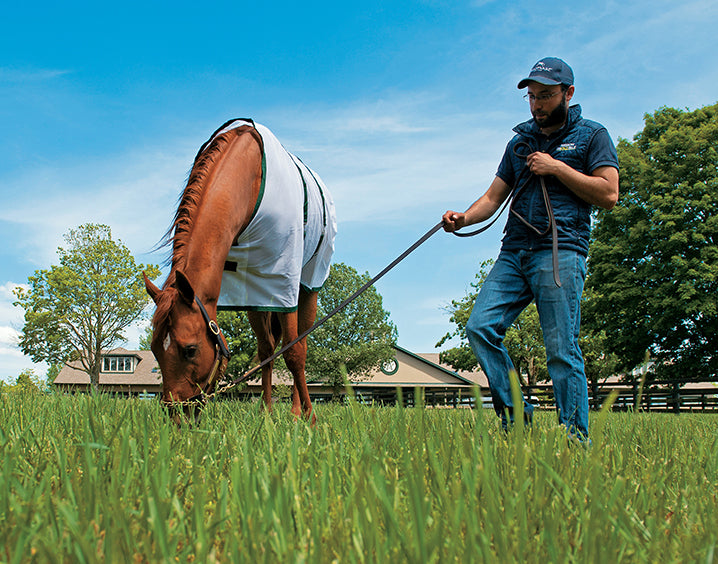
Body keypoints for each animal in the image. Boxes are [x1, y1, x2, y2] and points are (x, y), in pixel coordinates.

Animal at [146, 119, 340, 420]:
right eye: (155, 348)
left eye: (190, 350)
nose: (177, 416)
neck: (248, 177)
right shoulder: (252, 289)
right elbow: (266, 351)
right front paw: (266, 414)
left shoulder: (285, 280)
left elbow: (294, 352)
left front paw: (308, 418)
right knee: (270, 346)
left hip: (307, 288)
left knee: (302, 343)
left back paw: (297, 410)